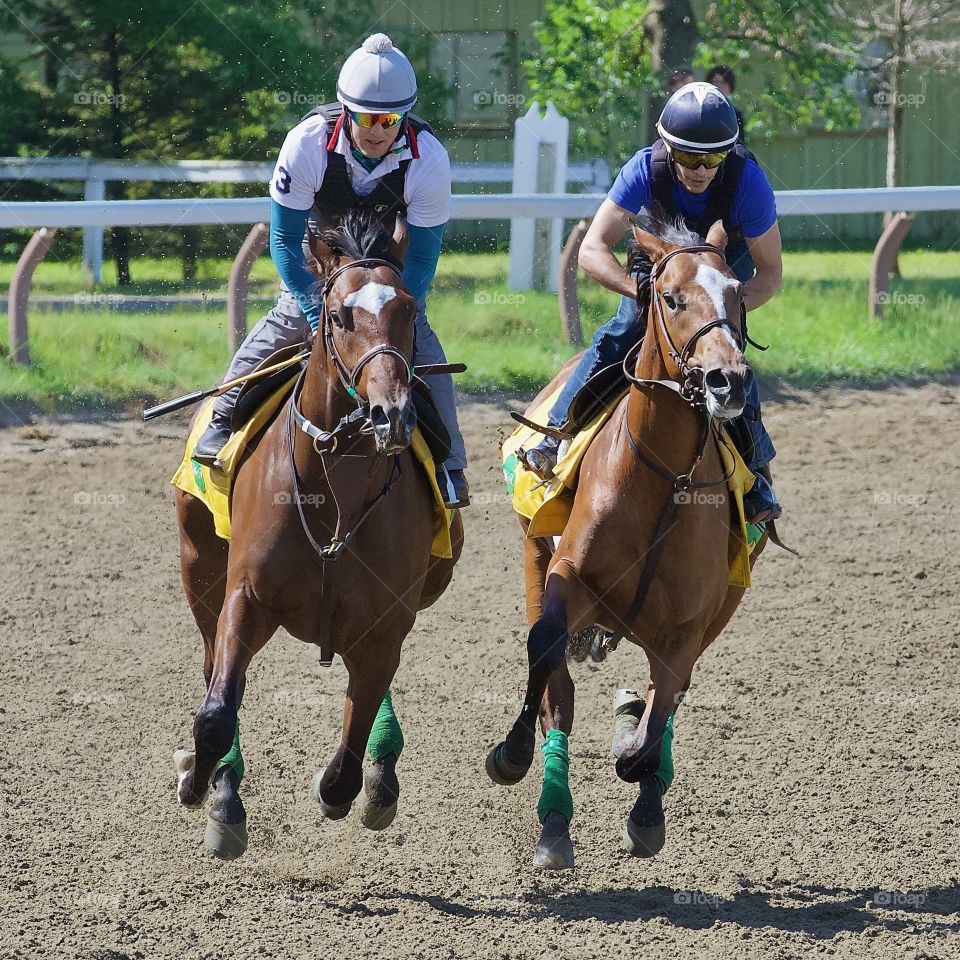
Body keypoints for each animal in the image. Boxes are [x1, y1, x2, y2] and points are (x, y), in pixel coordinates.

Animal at [174, 208, 464, 856]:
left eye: (408, 309)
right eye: (337, 315)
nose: (392, 414)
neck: (335, 491)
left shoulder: (386, 623)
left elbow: (349, 754)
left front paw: (356, 785)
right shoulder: (246, 596)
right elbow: (217, 712)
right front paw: (204, 787)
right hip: (198, 569)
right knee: (211, 671)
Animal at [488, 218, 764, 872]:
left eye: (738, 292)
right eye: (671, 297)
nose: (729, 380)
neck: (663, 479)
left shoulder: (691, 624)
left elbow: (657, 718)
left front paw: (641, 779)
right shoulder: (566, 576)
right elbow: (547, 657)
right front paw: (510, 754)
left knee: (665, 699)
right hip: (534, 552)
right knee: (559, 692)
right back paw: (554, 822)